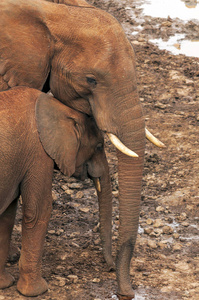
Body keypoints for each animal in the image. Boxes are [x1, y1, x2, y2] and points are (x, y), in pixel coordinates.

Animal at [0, 86, 109, 296]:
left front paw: (4, 284)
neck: (56, 106)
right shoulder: (38, 152)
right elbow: (39, 211)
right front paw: (37, 291)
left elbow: (6, 217)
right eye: (99, 146)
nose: (111, 268)